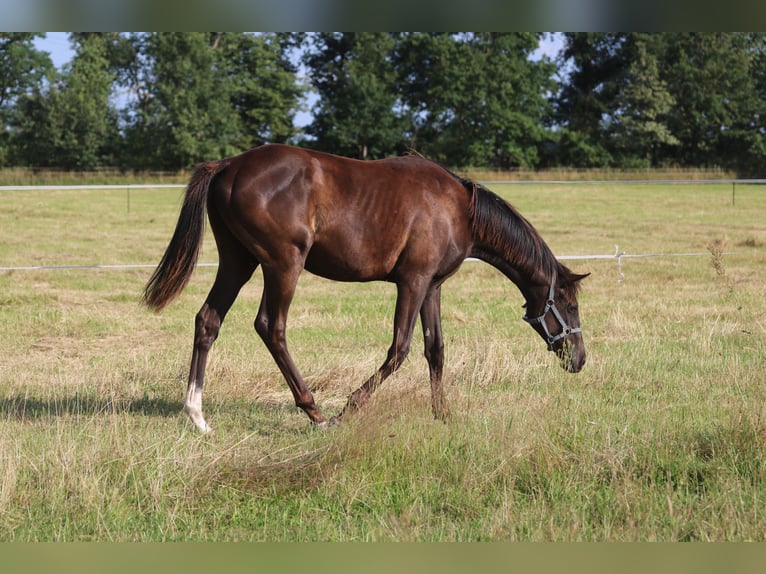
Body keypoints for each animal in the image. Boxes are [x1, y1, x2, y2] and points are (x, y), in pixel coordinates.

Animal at [144, 144, 588, 432]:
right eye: (569, 304)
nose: (580, 359)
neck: (459, 209)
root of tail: (229, 165)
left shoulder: (432, 287)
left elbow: (436, 350)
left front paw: (443, 415)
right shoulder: (412, 282)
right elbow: (400, 349)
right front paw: (350, 408)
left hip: (238, 262)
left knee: (208, 320)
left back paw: (197, 415)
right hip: (283, 264)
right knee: (271, 327)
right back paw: (316, 413)